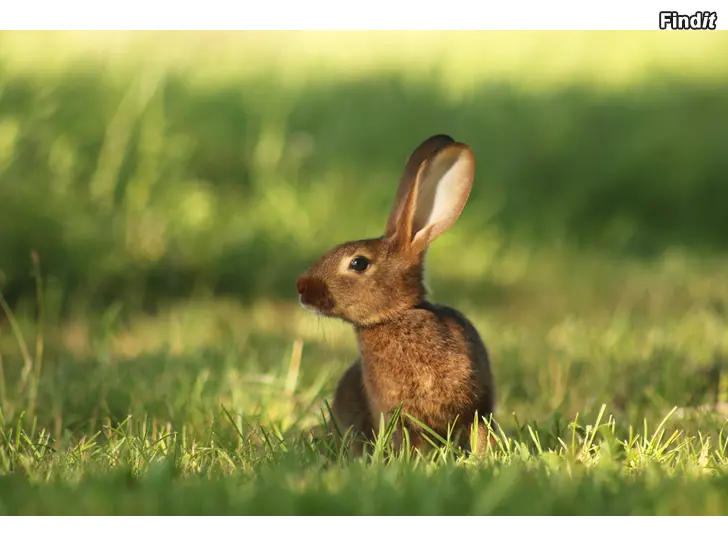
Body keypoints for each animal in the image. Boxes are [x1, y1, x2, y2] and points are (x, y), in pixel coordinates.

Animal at [297, 134, 495, 456]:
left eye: (358, 263)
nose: (302, 288)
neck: (397, 316)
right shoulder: (395, 414)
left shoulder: (479, 406)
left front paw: (482, 458)